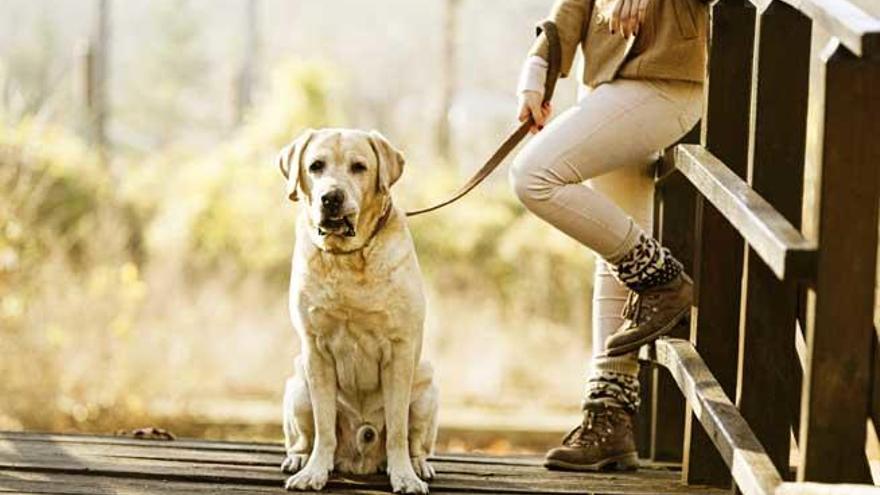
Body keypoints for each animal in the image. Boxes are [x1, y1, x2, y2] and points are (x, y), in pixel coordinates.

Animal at [278, 129, 436, 495]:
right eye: (316, 166)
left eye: (359, 167)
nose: (331, 198)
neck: (348, 257)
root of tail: (359, 460)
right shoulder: (315, 352)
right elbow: (324, 426)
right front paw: (314, 472)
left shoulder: (400, 351)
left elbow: (397, 428)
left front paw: (404, 476)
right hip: (297, 385)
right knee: (304, 436)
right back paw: (298, 458)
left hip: (426, 386)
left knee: (416, 440)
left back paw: (419, 465)